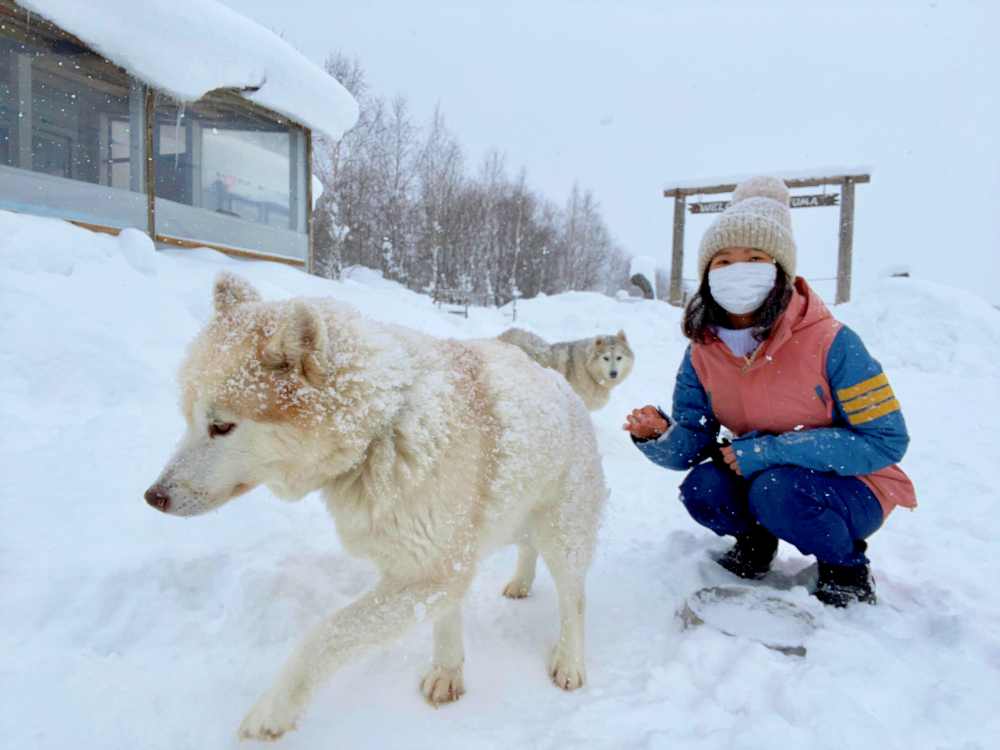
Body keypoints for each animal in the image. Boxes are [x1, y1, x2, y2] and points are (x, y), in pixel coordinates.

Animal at [145, 274, 604, 744]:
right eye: (187, 417)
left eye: (221, 426)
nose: (153, 496)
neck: (383, 427)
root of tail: (561, 384)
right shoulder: (436, 569)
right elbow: (442, 616)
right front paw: (447, 670)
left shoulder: (427, 573)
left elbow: (326, 635)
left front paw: (273, 710)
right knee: (524, 552)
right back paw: (510, 596)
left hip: (564, 537)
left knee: (574, 600)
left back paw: (569, 662)